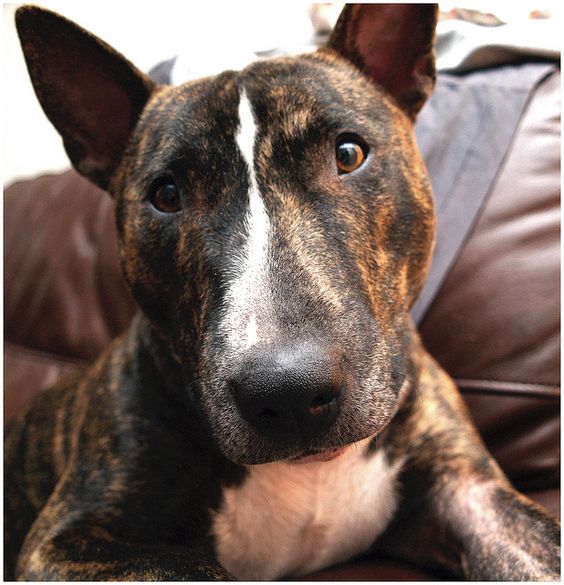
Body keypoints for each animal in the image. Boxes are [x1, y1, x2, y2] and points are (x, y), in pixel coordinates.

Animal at [4, 3, 560, 580]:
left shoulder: (474, 496)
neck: (309, 472)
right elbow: (190, 566)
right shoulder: (67, 541)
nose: (288, 392)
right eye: (167, 194)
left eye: (348, 153)